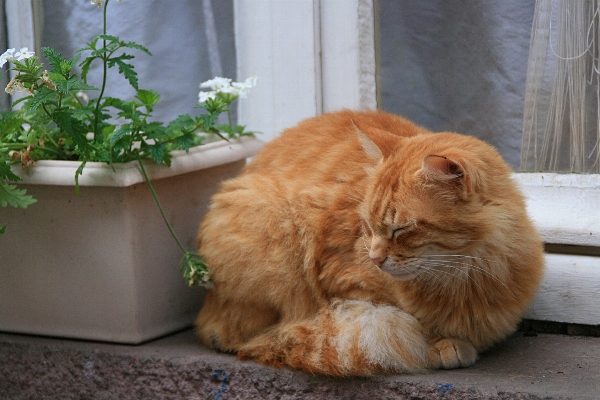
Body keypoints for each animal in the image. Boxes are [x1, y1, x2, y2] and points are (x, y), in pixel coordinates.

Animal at [196, 108, 544, 376]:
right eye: (367, 225)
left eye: (401, 229)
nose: (375, 259)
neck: (465, 277)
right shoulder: (341, 280)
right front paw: (439, 344)